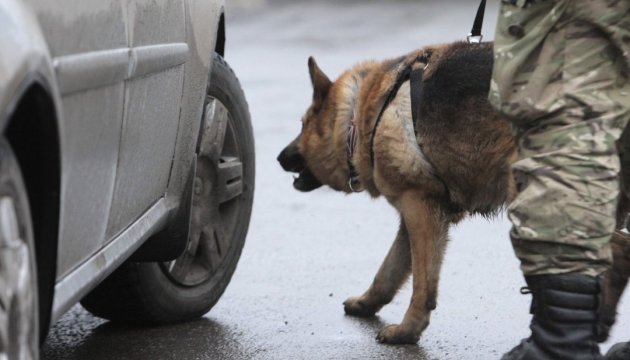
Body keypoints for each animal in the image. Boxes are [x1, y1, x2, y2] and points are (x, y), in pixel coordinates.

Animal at [278, 40, 630, 344]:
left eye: (303, 124)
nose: (279, 158)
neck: (365, 114)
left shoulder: (420, 209)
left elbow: (421, 283)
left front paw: (407, 330)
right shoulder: (413, 216)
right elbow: (389, 270)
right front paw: (368, 303)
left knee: (612, 251)